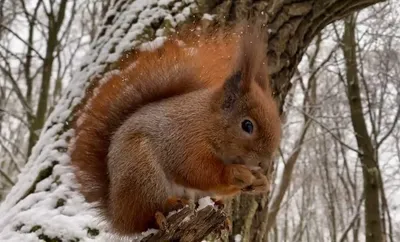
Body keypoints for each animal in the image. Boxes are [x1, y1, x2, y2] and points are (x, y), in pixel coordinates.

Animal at [69, 21, 282, 235]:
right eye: (247, 125)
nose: (265, 164)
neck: (209, 122)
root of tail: (116, 213)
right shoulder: (184, 140)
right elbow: (198, 171)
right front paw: (236, 173)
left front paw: (261, 182)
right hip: (141, 174)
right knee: (143, 218)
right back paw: (166, 209)